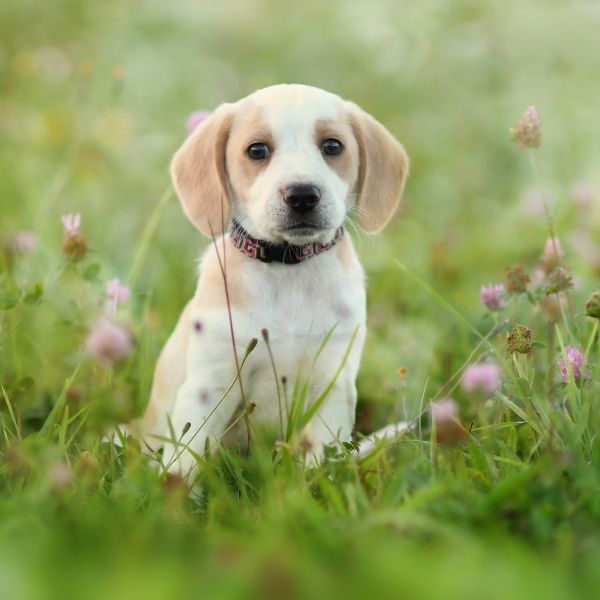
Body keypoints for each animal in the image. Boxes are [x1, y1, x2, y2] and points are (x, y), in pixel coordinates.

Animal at [137, 85, 408, 478]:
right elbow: (186, 458)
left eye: (332, 146)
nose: (303, 195)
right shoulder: (209, 385)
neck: (288, 269)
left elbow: (322, 459)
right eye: (257, 150)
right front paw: (173, 493)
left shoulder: (332, 384)